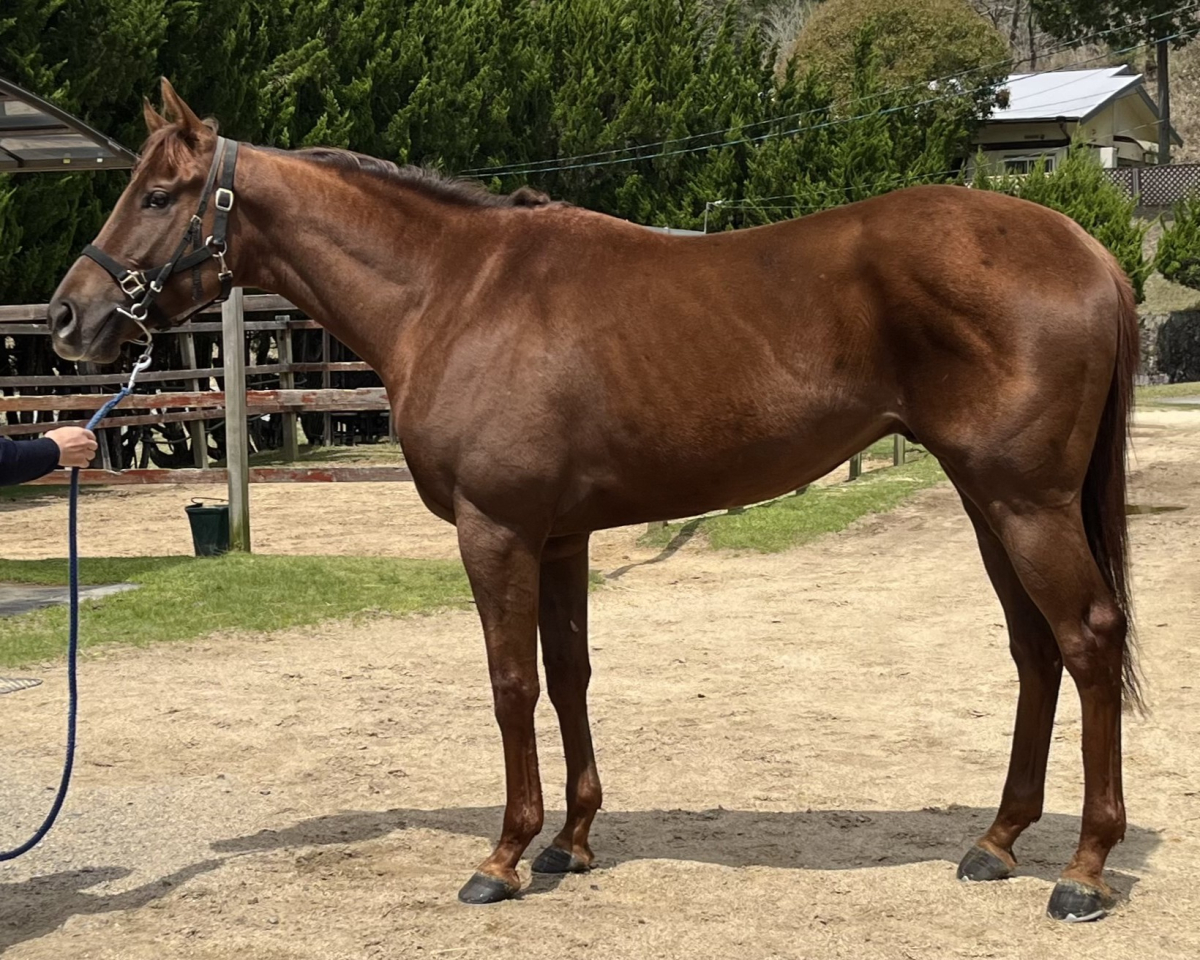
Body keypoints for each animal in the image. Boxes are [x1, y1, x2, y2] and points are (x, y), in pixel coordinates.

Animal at [49, 79, 1140, 923]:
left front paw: (501, 857)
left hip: (1025, 503)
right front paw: (569, 842)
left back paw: (1083, 871)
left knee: (1086, 639)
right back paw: (997, 842)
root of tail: (1087, 251)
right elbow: (569, 675)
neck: (454, 289)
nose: (68, 316)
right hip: (989, 501)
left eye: (159, 194)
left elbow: (510, 684)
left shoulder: (497, 532)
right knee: (1035, 650)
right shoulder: (561, 535)